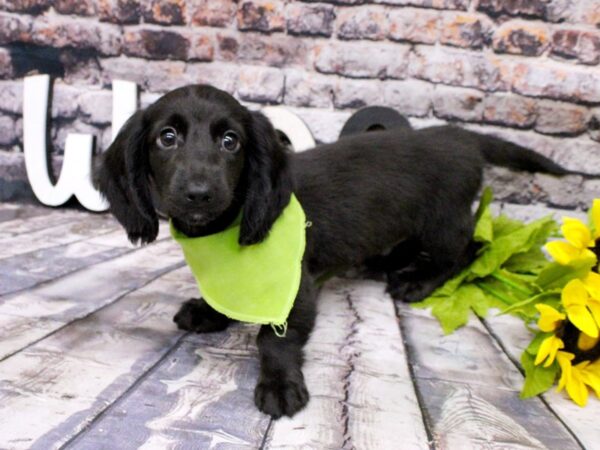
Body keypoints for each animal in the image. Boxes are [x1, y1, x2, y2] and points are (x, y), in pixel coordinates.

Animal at [96, 85, 588, 418]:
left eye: (230, 141)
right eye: (167, 137)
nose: (198, 193)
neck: (223, 236)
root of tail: (460, 137)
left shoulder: (296, 286)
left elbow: (273, 339)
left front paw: (280, 384)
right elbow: (228, 301)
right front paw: (208, 310)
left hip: (441, 224)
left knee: (470, 250)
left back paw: (418, 281)